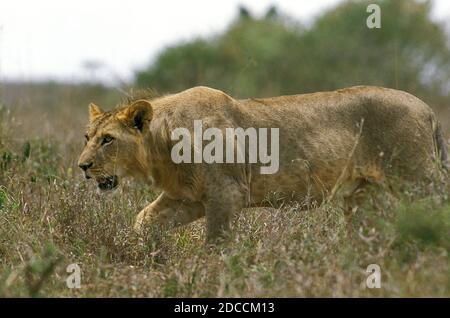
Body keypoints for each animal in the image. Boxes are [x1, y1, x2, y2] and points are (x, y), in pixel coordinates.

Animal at [77, 85, 446, 242]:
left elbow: (216, 244)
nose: (82, 167)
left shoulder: (227, 194)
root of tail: (428, 108)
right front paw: (146, 257)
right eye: (87, 136)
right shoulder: (186, 199)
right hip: (362, 196)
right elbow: (144, 221)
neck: (162, 145)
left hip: (418, 181)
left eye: (108, 139)